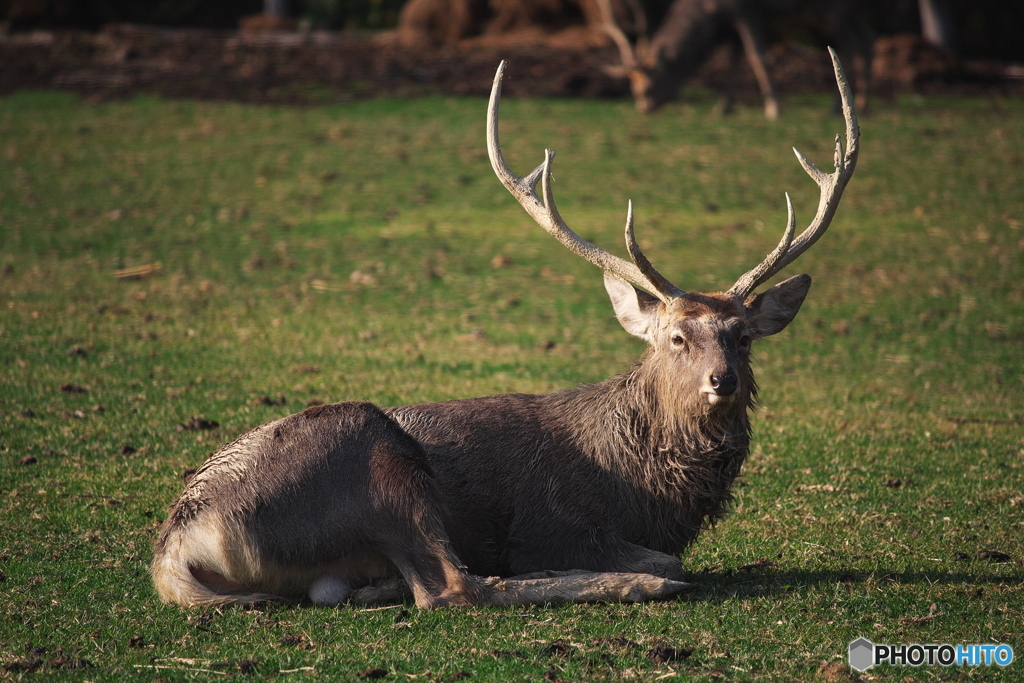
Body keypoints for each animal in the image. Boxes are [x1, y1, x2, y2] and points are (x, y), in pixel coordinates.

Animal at [149, 49, 856, 610]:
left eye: (743, 336)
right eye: (676, 338)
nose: (722, 381)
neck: (643, 489)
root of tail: (177, 546)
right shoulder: (556, 521)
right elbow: (660, 556)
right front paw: (642, 571)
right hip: (374, 453)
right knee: (452, 587)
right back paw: (628, 585)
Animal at [598, 0, 872, 117]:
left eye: (649, 86)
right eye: (633, 88)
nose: (644, 107)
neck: (706, 12)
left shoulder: (744, 9)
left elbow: (756, 55)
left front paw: (773, 107)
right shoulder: (729, 21)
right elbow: (735, 57)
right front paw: (724, 106)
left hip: (833, 6)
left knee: (850, 42)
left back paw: (841, 106)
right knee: (865, 37)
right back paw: (859, 103)